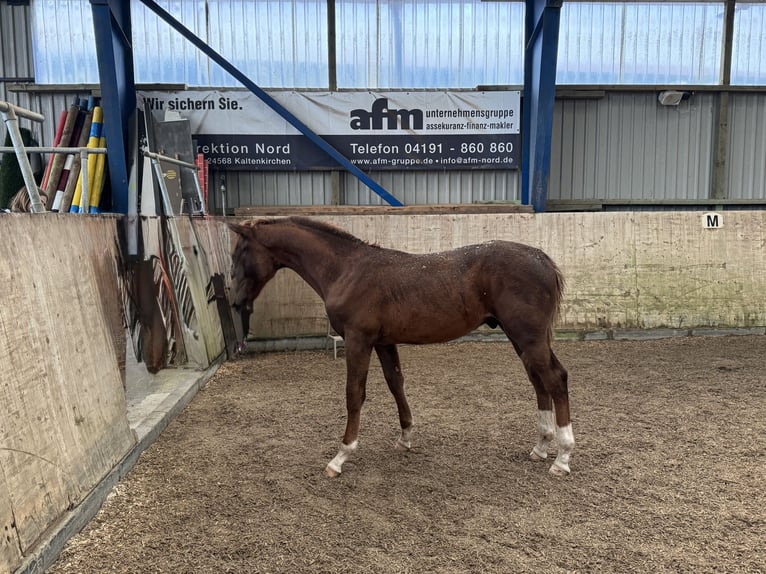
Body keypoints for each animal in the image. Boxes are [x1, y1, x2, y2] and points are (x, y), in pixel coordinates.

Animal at [228, 216, 574, 478]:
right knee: (539, 380)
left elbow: (354, 394)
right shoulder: (383, 342)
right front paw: (405, 437)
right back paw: (541, 446)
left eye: (238, 254)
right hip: (522, 339)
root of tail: (543, 259)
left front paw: (341, 456)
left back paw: (562, 457)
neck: (345, 269)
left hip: (527, 337)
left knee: (555, 378)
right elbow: (396, 383)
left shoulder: (358, 340)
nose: (235, 302)